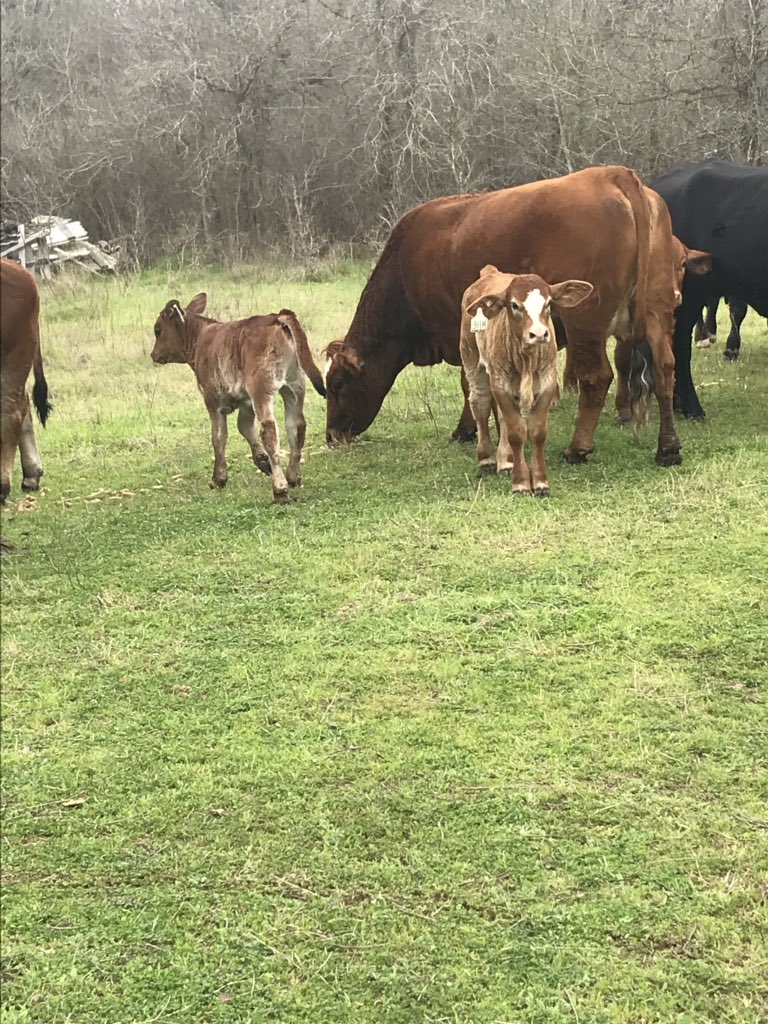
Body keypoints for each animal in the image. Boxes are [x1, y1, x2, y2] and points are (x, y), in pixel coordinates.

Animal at [150, 295, 326, 504]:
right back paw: (293, 476)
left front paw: (218, 478)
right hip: (295, 385)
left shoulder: (212, 400)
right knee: (296, 426)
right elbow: (244, 427)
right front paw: (261, 460)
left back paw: (280, 490)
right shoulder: (246, 401)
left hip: (261, 388)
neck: (200, 338)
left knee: (269, 430)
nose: (153, 355)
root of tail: (276, 318)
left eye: (158, 330)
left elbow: (218, 437)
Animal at [324, 165, 684, 467]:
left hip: (585, 321)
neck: (407, 266)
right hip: (658, 312)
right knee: (665, 370)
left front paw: (471, 431)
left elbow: (471, 385)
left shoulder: (460, 333)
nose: (331, 436)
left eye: (337, 384)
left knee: (596, 378)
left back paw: (578, 448)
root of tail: (613, 174)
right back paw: (668, 448)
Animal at [461, 266, 592, 496]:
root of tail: (490, 272)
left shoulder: (547, 384)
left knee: (502, 417)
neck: (526, 360)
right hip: (472, 360)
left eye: (548, 303)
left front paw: (540, 482)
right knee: (481, 406)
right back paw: (487, 458)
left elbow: (536, 432)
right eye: (514, 305)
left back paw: (506, 461)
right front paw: (521, 482)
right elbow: (516, 432)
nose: (538, 334)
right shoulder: (500, 385)